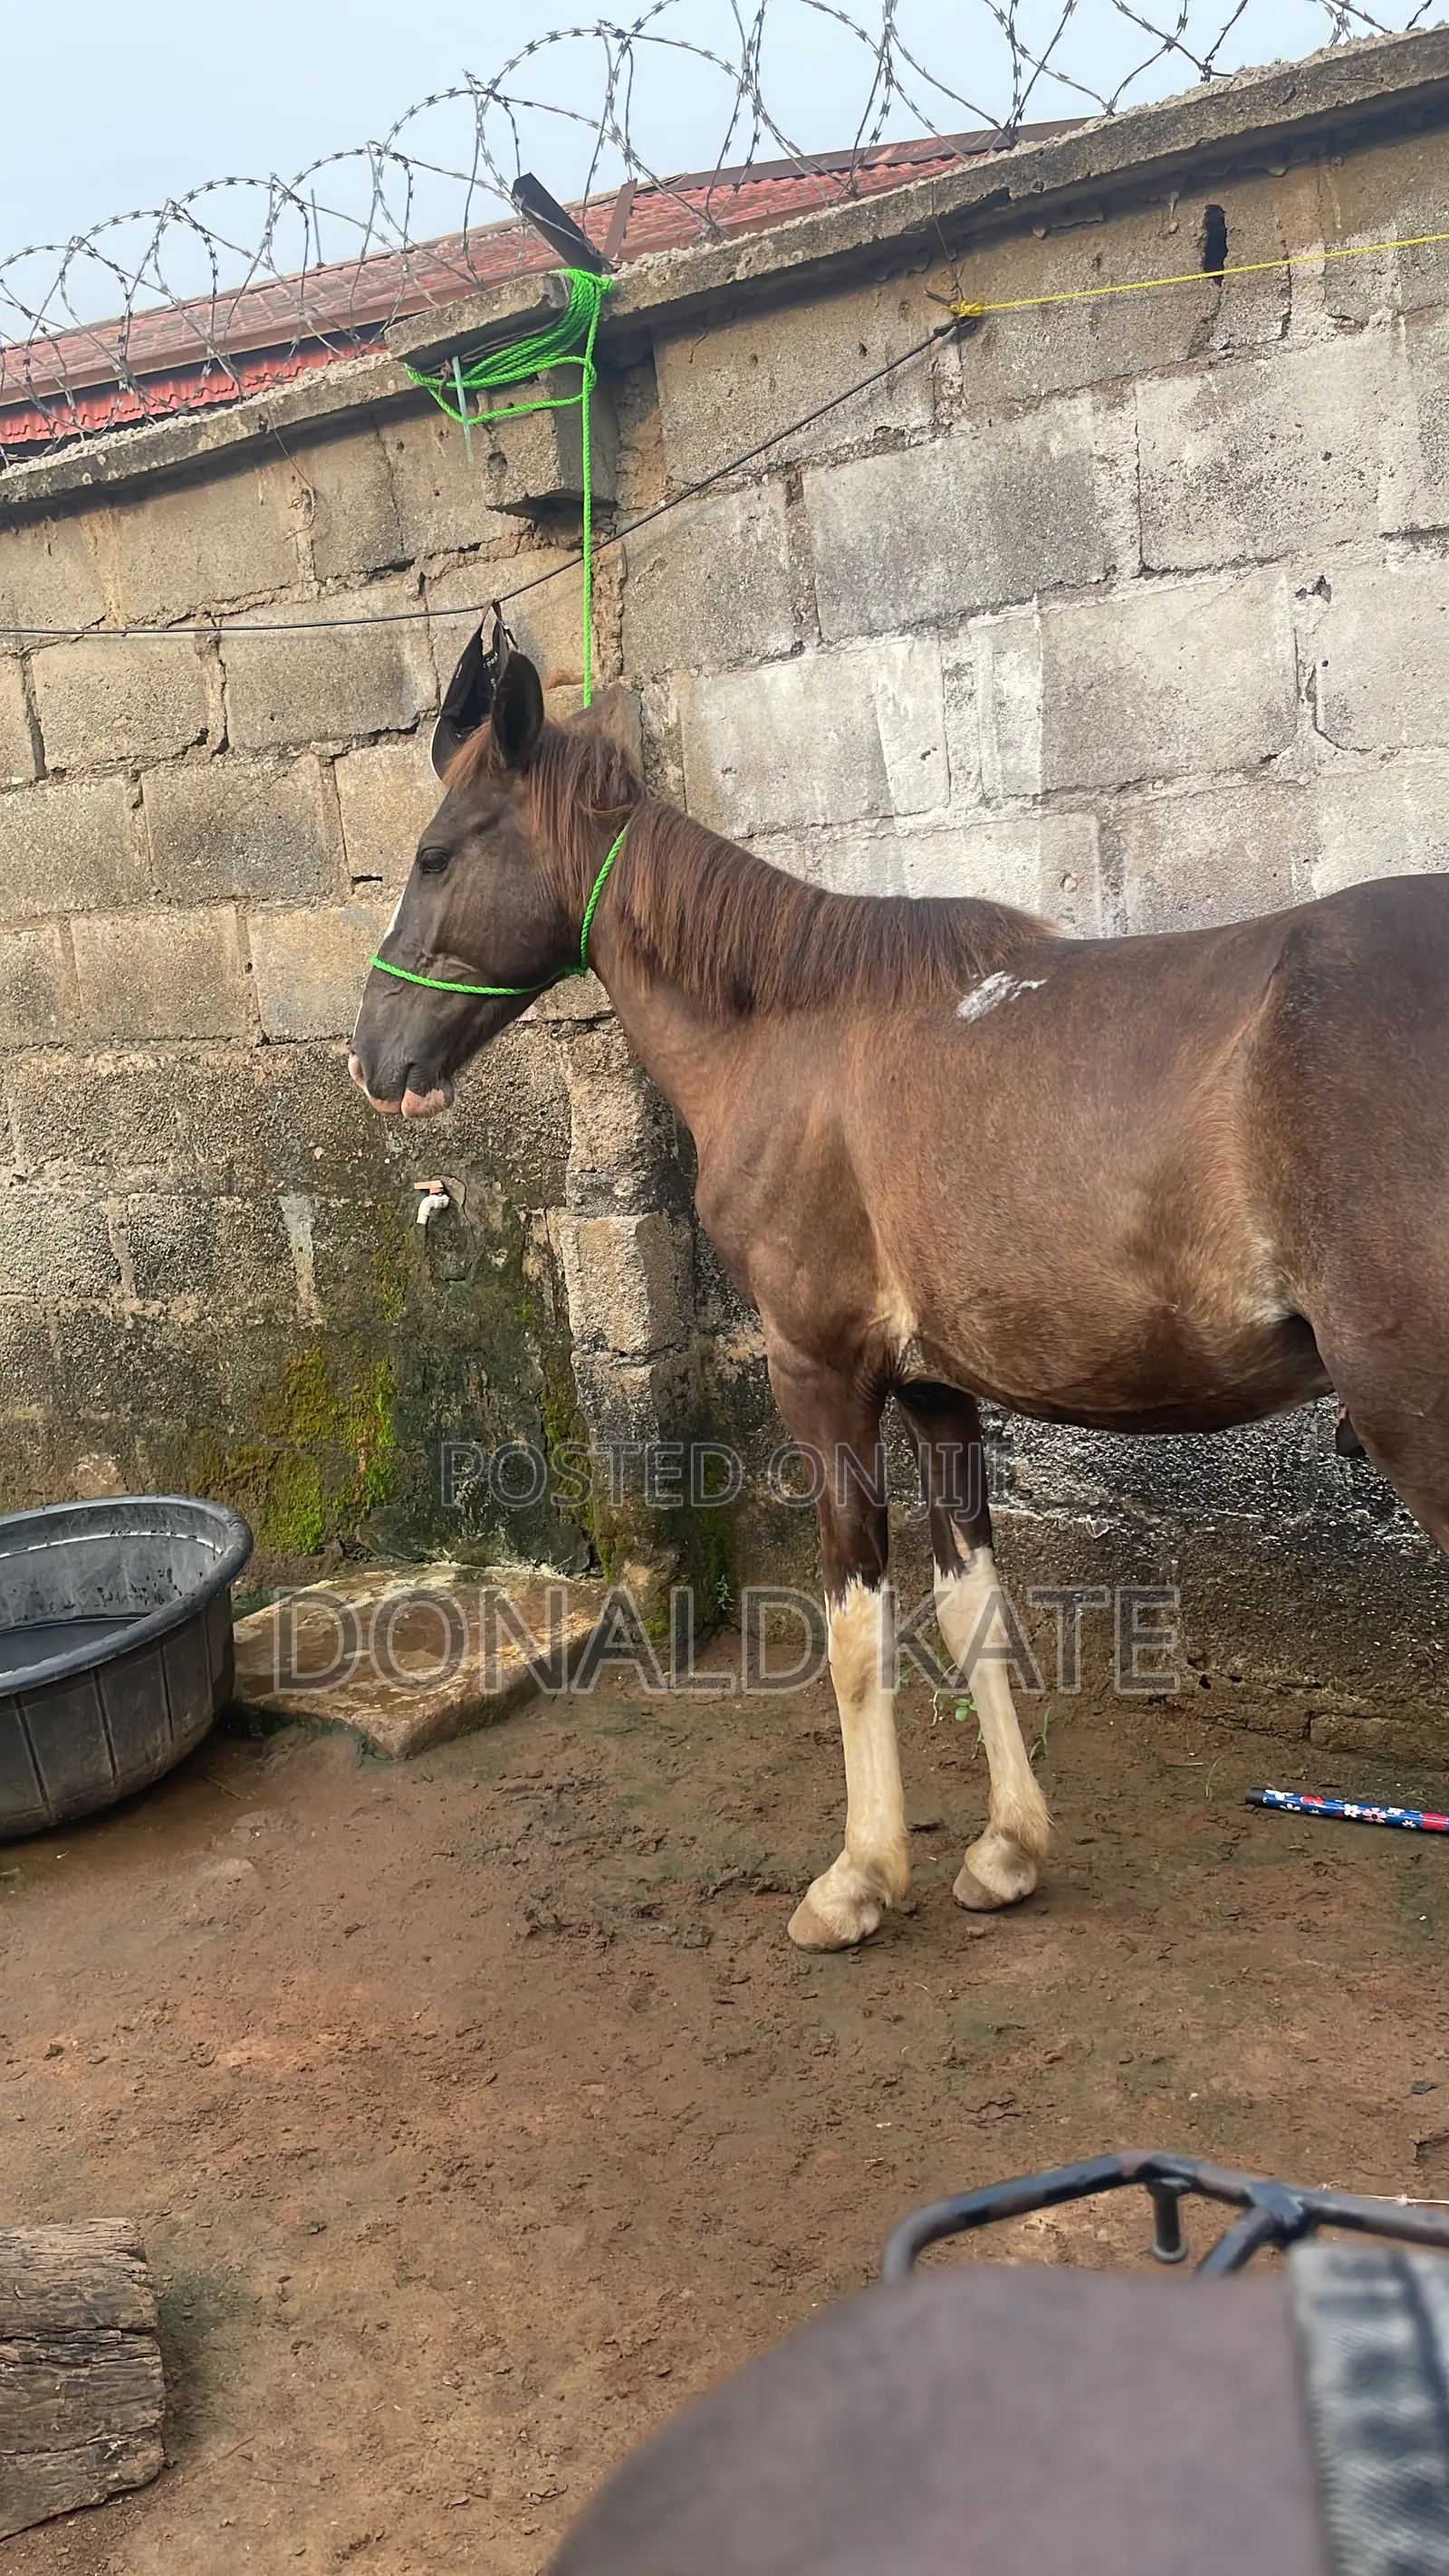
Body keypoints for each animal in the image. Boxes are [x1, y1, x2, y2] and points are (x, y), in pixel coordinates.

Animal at [350, 624, 1449, 1951]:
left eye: (434, 852)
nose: (372, 1055)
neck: (791, 1033)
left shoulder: (821, 1373)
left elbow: (854, 1625)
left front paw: (860, 1875)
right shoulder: (937, 1389)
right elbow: (975, 1610)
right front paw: (1007, 1849)